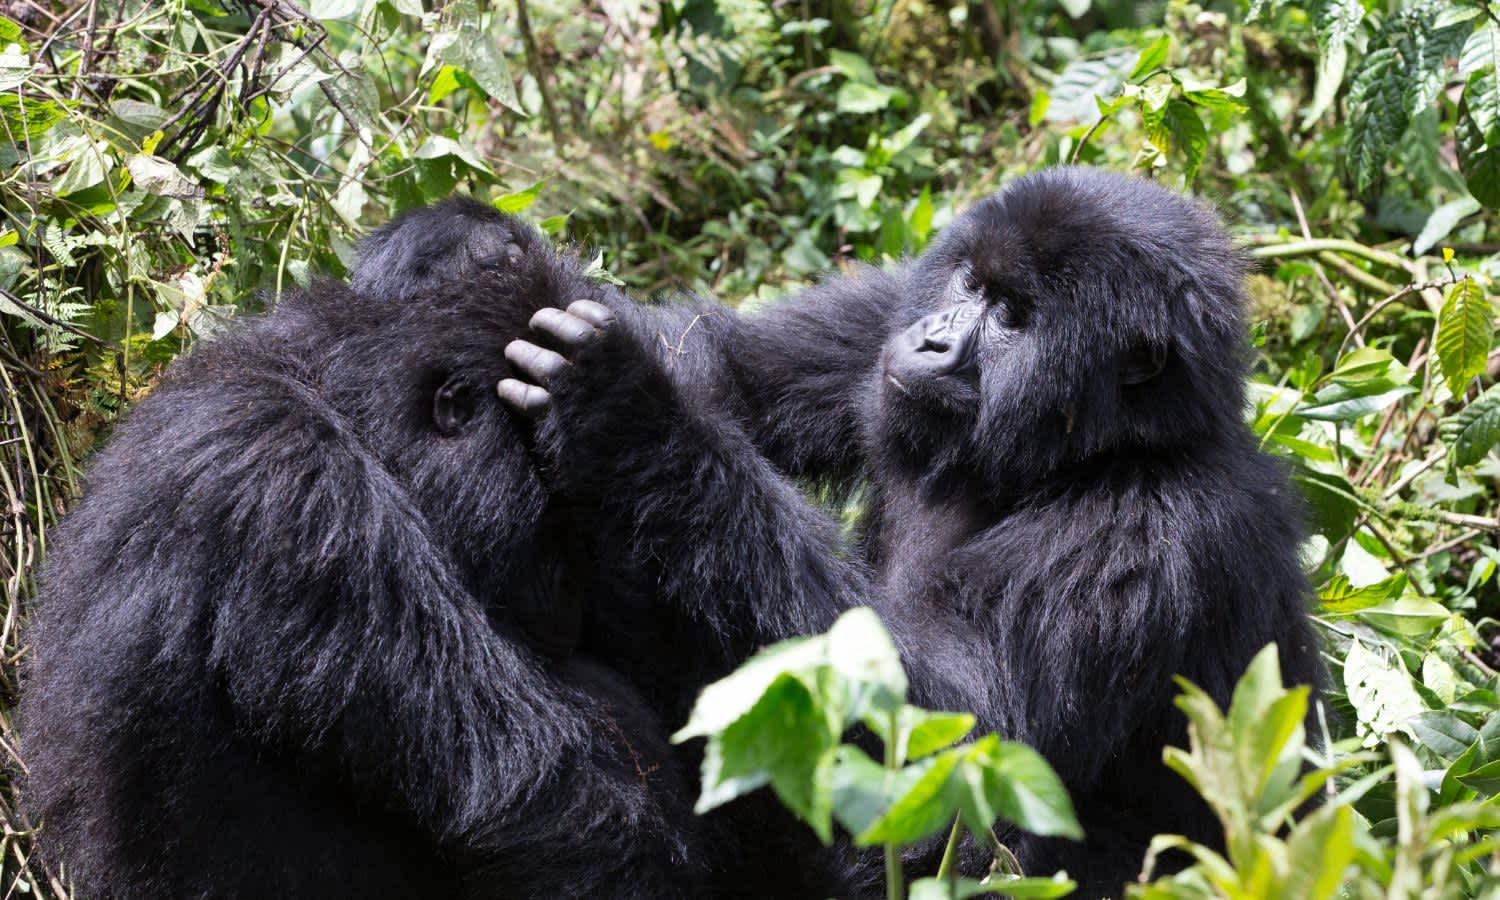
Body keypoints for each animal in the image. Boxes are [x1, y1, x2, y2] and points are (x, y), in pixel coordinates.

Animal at [11, 222, 864, 894]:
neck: (343, 403)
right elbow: (533, 796)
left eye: (589, 525)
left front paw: (631, 413)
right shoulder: (292, 493)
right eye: (560, 524)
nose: (568, 603)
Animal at [486, 167, 1320, 894]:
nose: (935, 340)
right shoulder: (887, 315)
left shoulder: (1150, 530)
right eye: (971, 286)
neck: (1102, 447)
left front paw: (624, 410)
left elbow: (959, 739)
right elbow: (717, 367)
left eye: (1013, 316)